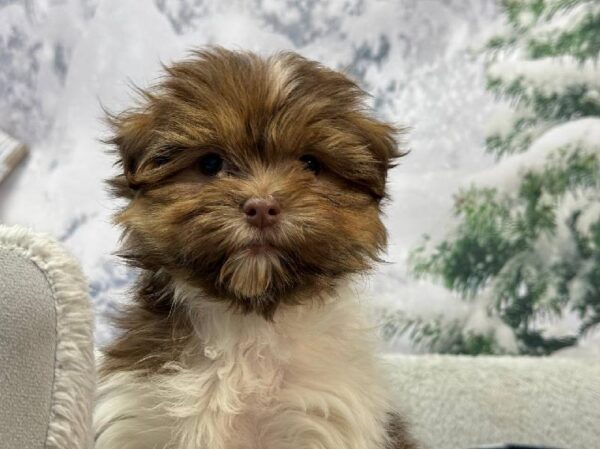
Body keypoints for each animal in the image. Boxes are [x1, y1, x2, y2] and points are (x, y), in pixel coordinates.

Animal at [97, 48, 418, 448]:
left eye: (310, 163)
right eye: (210, 163)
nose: (262, 207)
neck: (248, 324)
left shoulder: (322, 418)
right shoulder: (139, 416)